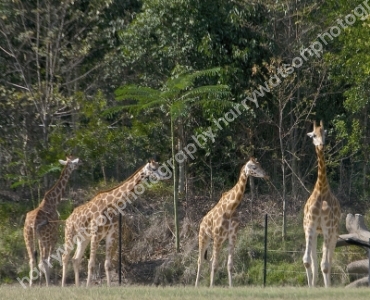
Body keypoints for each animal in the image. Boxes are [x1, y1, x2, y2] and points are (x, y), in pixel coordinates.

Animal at [24, 157, 81, 286]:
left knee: (32, 259)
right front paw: (48, 282)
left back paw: (31, 285)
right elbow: (49, 260)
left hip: (28, 237)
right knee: (43, 260)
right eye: (73, 162)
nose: (79, 164)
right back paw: (47, 284)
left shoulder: (43, 239)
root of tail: (33, 223)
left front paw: (42, 282)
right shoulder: (54, 235)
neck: (53, 201)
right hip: (44, 238)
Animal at [61, 157, 166, 286]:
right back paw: (63, 286)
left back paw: (77, 286)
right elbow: (91, 264)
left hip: (83, 239)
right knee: (65, 257)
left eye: (159, 165)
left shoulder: (111, 234)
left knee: (76, 259)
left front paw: (109, 286)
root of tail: (68, 218)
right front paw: (88, 287)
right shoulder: (96, 234)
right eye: (154, 168)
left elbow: (107, 265)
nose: (165, 175)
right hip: (70, 234)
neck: (113, 204)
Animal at [194, 157, 268, 286]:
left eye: (260, 165)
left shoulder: (232, 236)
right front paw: (212, 287)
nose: (266, 175)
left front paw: (230, 286)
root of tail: (202, 222)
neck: (231, 207)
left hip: (215, 240)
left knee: (210, 260)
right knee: (200, 261)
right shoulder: (218, 237)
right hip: (204, 237)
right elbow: (215, 265)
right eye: (254, 167)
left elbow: (229, 265)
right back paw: (196, 286)